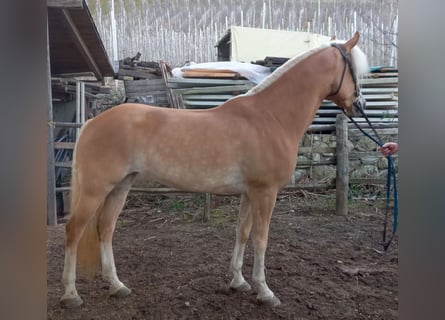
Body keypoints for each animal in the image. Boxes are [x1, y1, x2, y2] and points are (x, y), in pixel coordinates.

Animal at [60, 31, 370, 308]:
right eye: (354, 71)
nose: (360, 105)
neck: (271, 117)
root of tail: (92, 122)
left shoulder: (249, 193)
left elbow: (242, 232)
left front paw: (238, 281)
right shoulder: (265, 192)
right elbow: (261, 238)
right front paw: (265, 292)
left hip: (120, 187)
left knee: (105, 229)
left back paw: (117, 286)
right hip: (95, 189)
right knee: (74, 230)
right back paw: (71, 295)